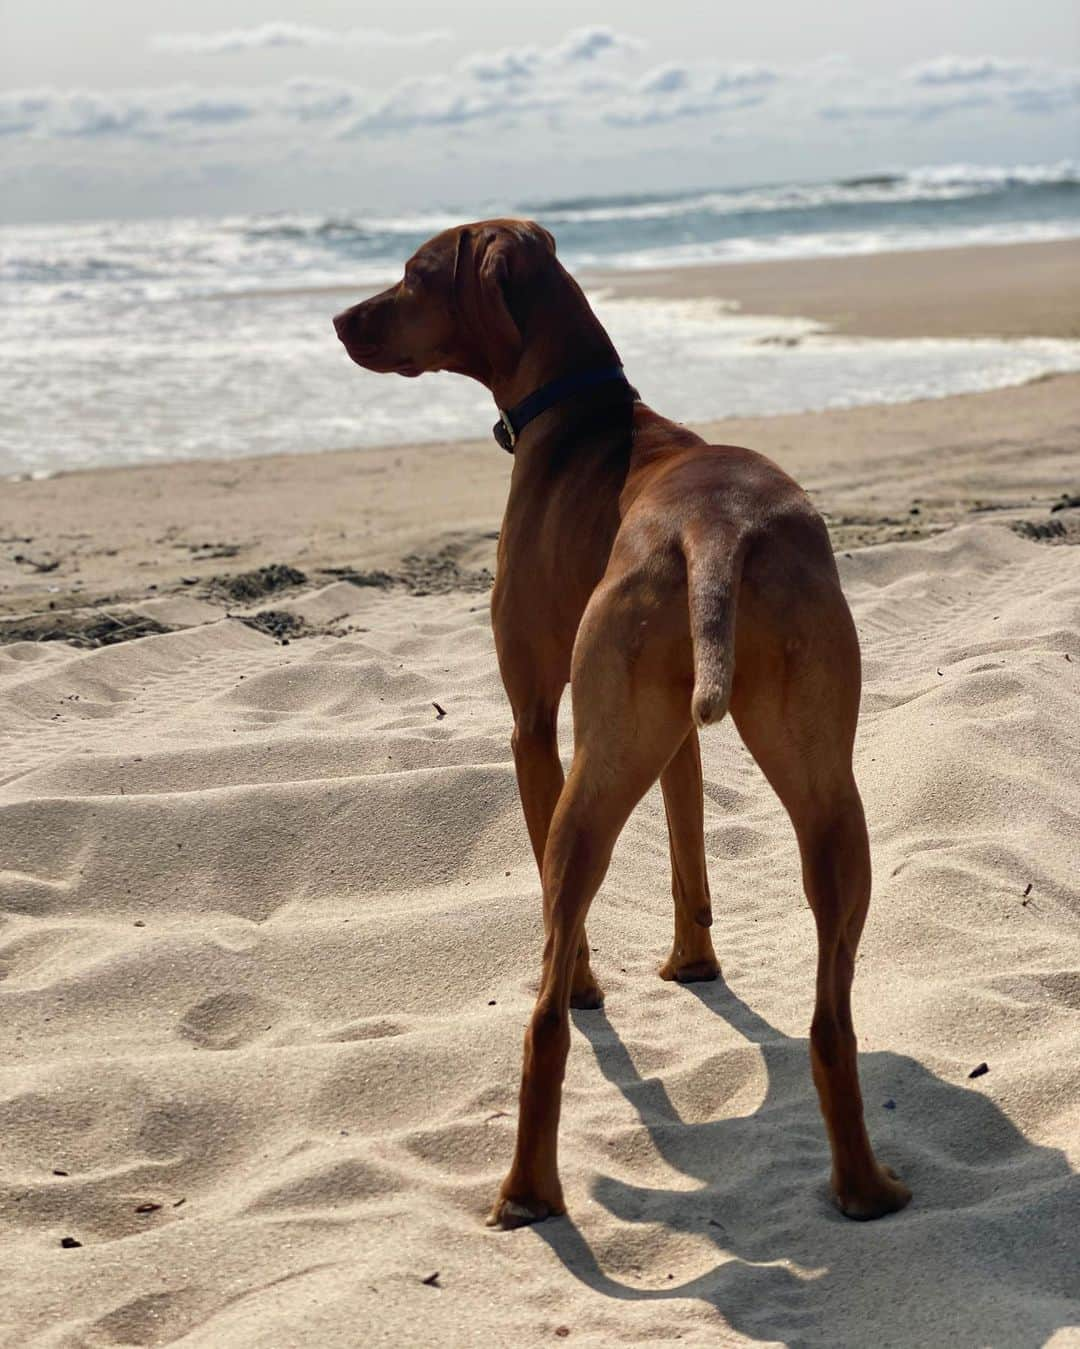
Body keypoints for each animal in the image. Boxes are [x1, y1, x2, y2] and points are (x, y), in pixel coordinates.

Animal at [334, 221, 911, 1235]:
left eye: (412, 274)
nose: (337, 319)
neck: (582, 410)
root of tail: (716, 529)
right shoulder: (678, 734)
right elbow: (689, 852)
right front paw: (694, 965)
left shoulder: (532, 724)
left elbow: (560, 911)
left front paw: (591, 982)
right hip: (830, 795)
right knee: (829, 1015)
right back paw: (863, 1188)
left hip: (587, 785)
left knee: (542, 1019)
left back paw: (527, 1189)